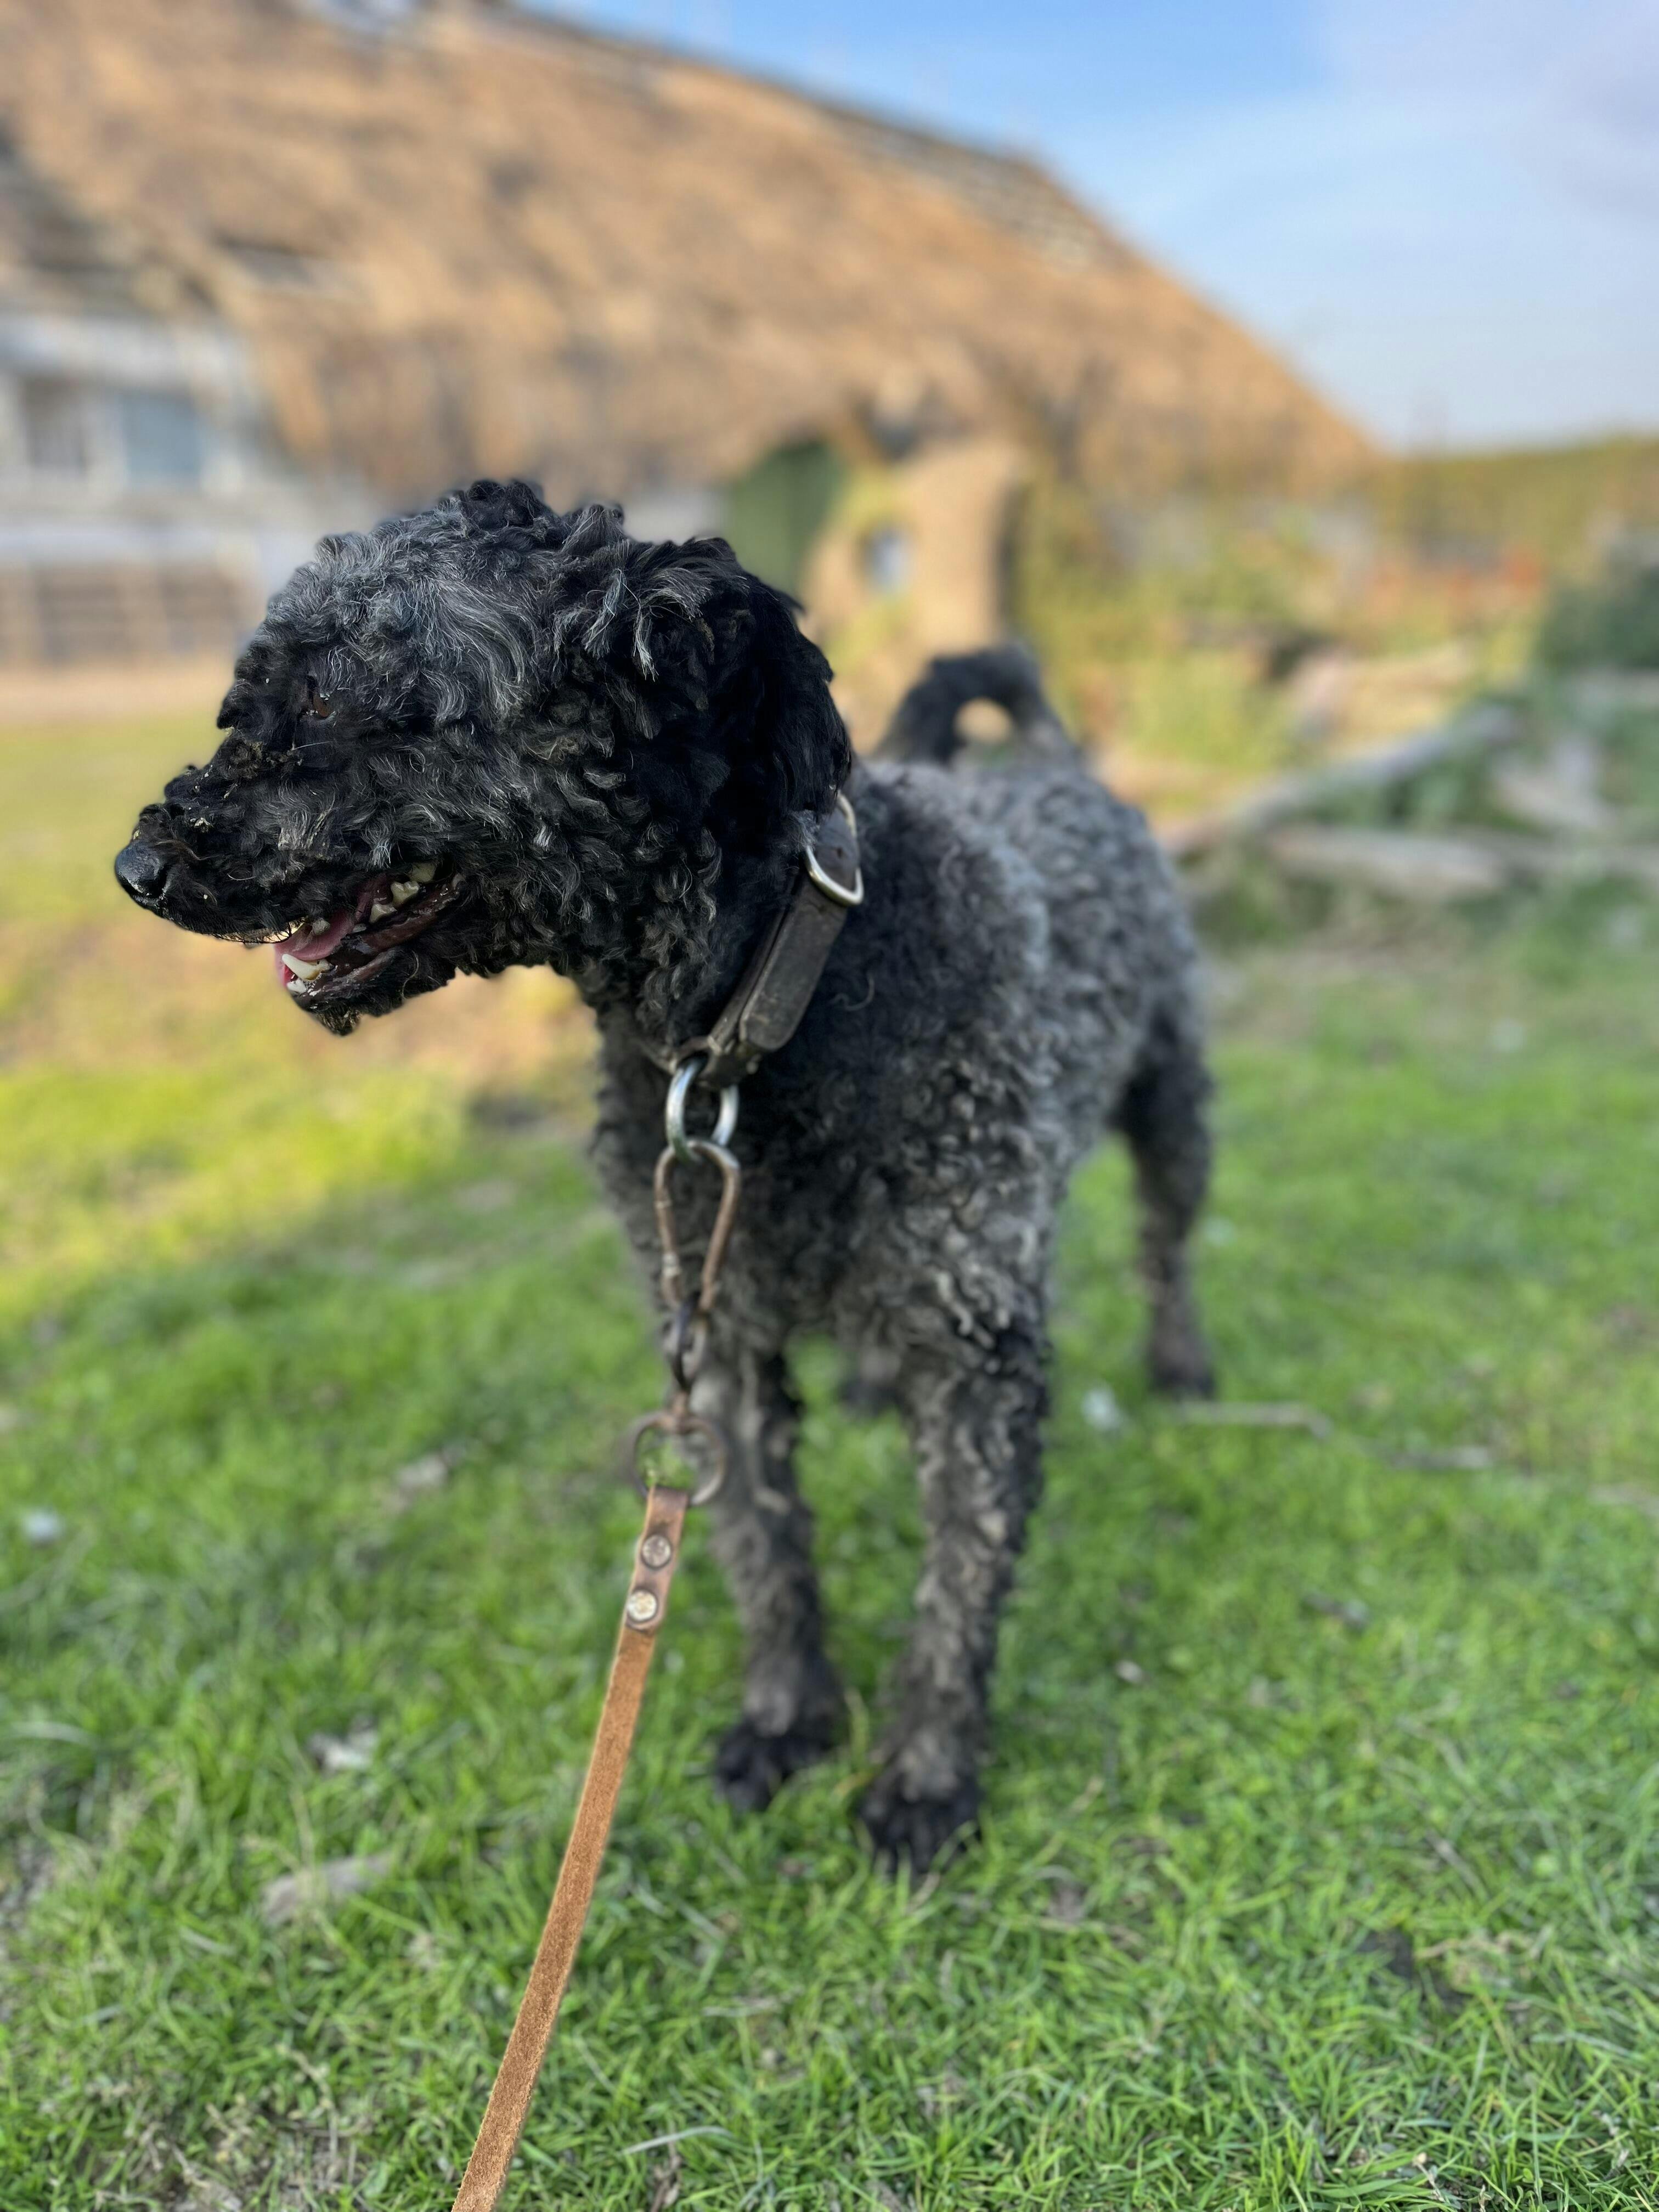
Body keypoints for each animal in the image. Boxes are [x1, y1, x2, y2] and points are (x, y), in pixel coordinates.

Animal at [114, 480, 1215, 1873]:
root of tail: (1059, 766)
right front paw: (789, 1723)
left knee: (1169, 1245)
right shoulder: (719, 1335)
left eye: (330, 702)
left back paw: (1183, 1362)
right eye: (246, 702)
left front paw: (923, 1780)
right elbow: (761, 1550)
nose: (139, 869)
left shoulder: (978, 1353)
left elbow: (955, 1592)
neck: (769, 1018)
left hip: (1170, 1109)